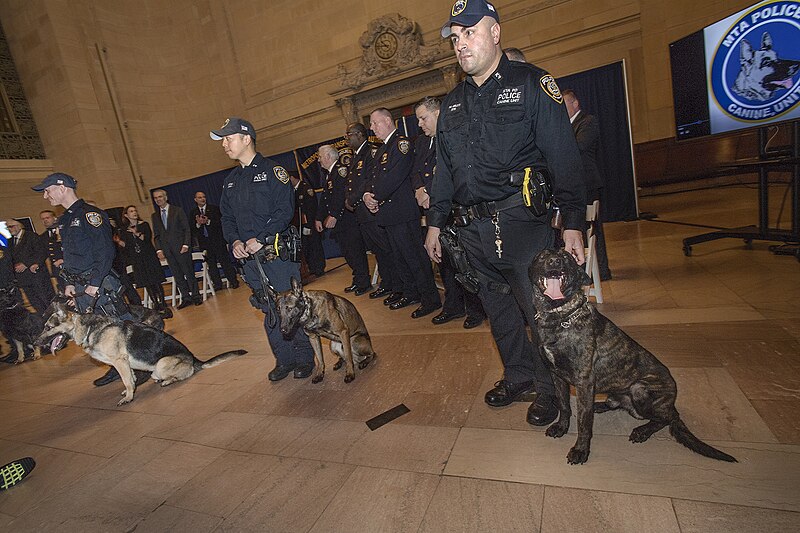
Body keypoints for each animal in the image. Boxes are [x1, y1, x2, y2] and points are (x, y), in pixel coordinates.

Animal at [528, 248, 736, 462]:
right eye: (542, 256)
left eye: (567, 257)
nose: (555, 261)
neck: (559, 317)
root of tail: (671, 403)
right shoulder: (557, 376)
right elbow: (564, 406)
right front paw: (561, 427)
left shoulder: (584, 383)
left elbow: (584, 423)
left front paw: (580, 450)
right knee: (617, 404)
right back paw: (600, 405)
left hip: (639, 389)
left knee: (667, 419)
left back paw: (642, 431)